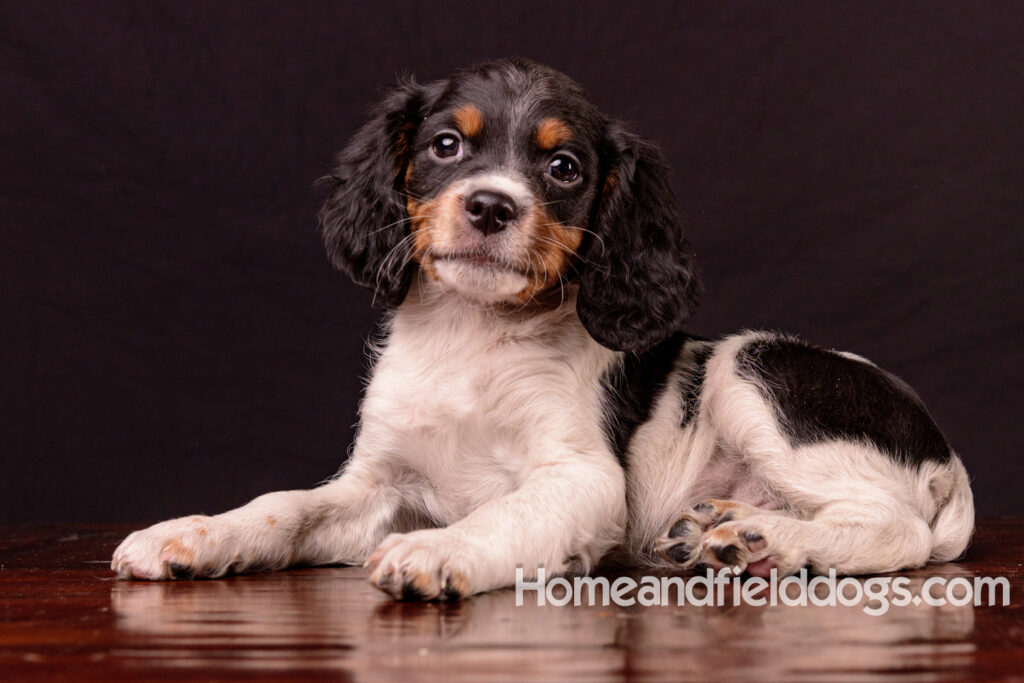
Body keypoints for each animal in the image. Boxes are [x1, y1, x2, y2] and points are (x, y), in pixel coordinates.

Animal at [112, 60, 974, 602]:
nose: (491, 205)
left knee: (894, 530)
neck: (472, 337)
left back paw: (769, 541)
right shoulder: (378, 483)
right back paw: (722, 530)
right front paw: (193, 533)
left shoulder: (582, 478)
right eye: (446, 145)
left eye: (564, 168)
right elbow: (283, 505)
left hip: (749, 369)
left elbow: (504, 513)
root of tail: (947, 457)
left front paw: (442, 551)